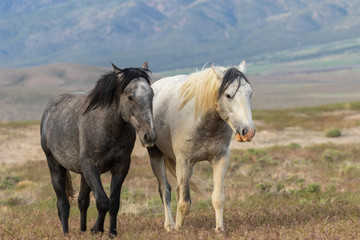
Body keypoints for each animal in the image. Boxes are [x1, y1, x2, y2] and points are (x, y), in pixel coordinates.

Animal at [40, 62, 156, 236]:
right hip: (55, 165)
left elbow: (113, 202)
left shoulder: (121, 167)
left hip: (83, 174)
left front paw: (111, 232)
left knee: (82, 201)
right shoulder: (91, 167)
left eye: (152, 95)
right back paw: (66, 233)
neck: (105, 126)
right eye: (130, 96)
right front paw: (97, 229)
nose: (150, 135)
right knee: (63, 204)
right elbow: (102, 201)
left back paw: (82, 230)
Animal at [147, 61, 256, 232]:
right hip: (156, 156)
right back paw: (170, 225)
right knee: (165, 190)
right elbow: (184, 203)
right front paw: (178, 230)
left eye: (250, 93)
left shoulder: (220, 159)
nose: (248, 131)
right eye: (228, 95)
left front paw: (219, 229)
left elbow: (218, 198)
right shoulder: (184, 162)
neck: (205, 123)